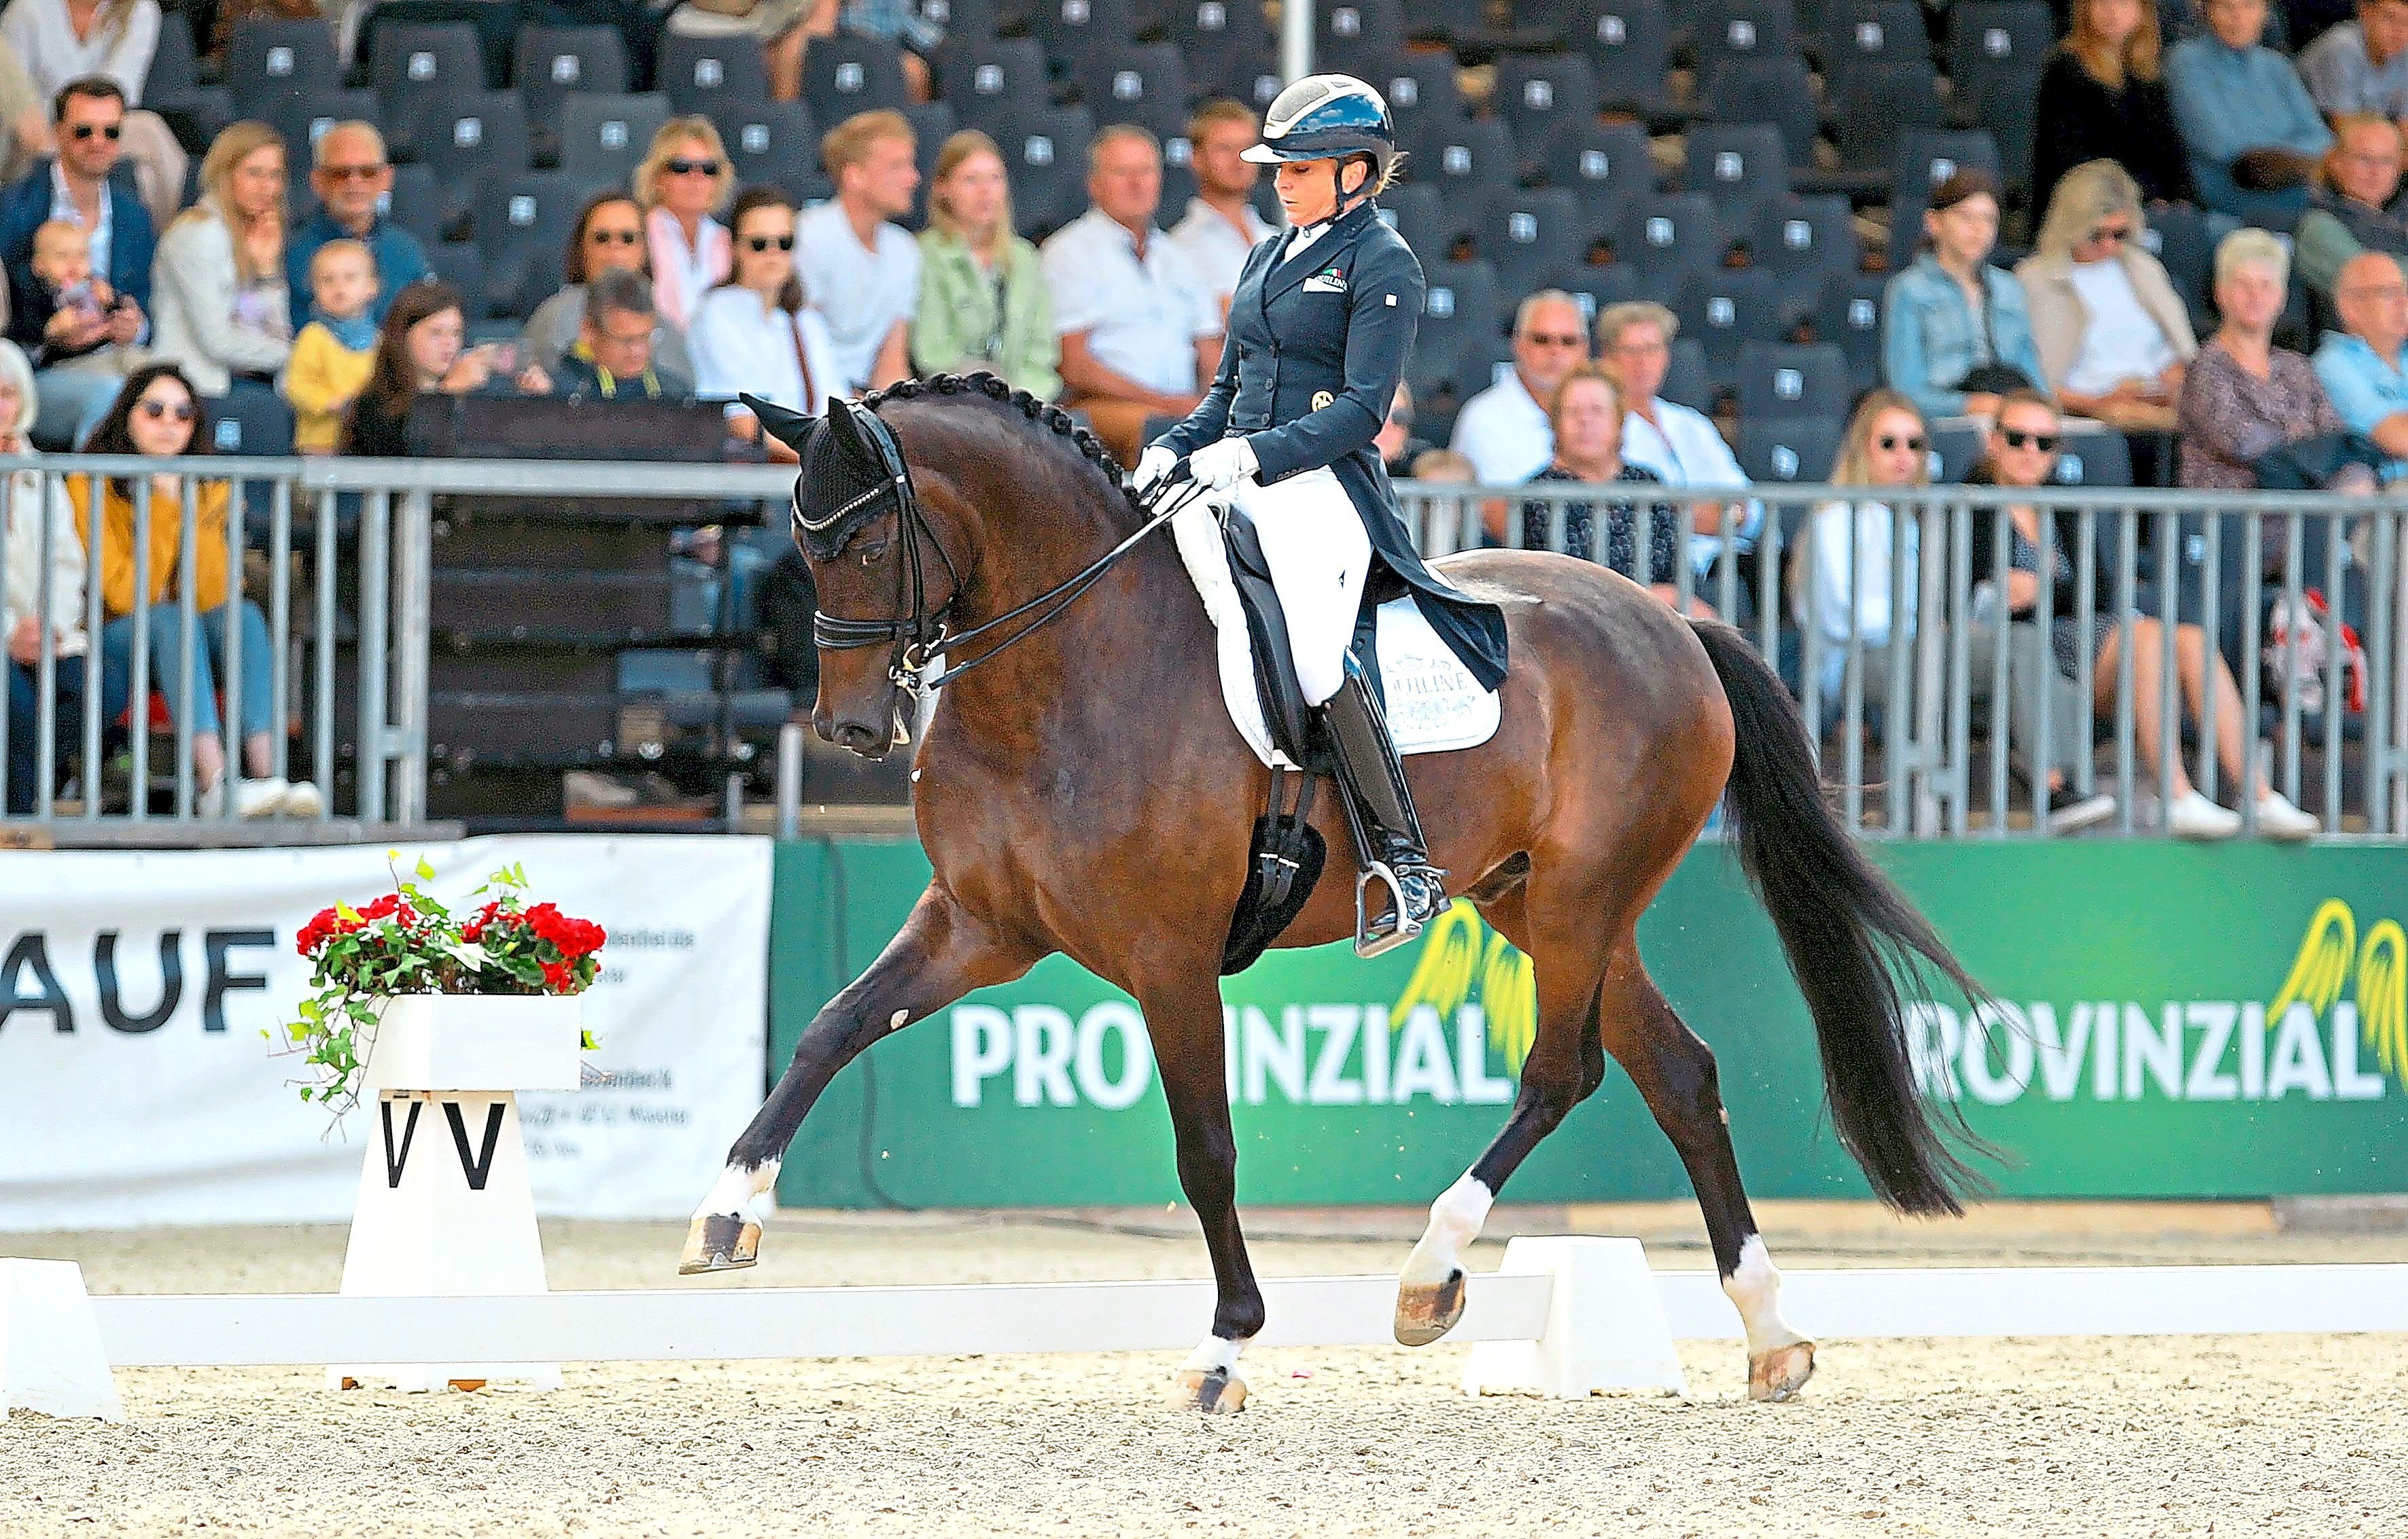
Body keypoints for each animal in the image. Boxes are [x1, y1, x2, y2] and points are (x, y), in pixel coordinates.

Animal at [684, 373, 1993, 1406]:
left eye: (865, 545)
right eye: (797, 545)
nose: (851, 729)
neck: (1063, 670)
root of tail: (1672, 623)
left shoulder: (1167, 955)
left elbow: (1204, 1149)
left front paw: (1224, 1347)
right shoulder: (977, 925)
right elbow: (830, 1026)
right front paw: (728, 1212)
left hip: (1581, 899)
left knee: (1561, 1072)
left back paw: (1430, 1272)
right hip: (1537, 901)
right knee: (1676, 1071)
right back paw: (1769, 1332)